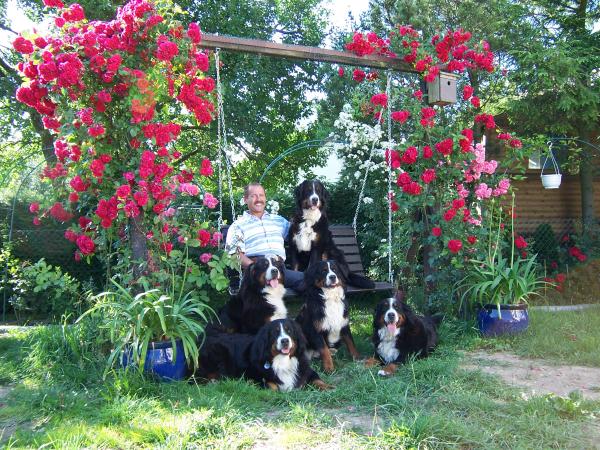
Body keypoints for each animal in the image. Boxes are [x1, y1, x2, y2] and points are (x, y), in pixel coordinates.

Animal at [195, 316, 330, 390]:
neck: (282, 360)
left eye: (289, 331)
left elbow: (318, 380)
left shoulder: (305, 370)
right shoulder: (253, 375)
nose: (285, 341)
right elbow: (272, 385)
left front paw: (329, 388)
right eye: (275, 332)